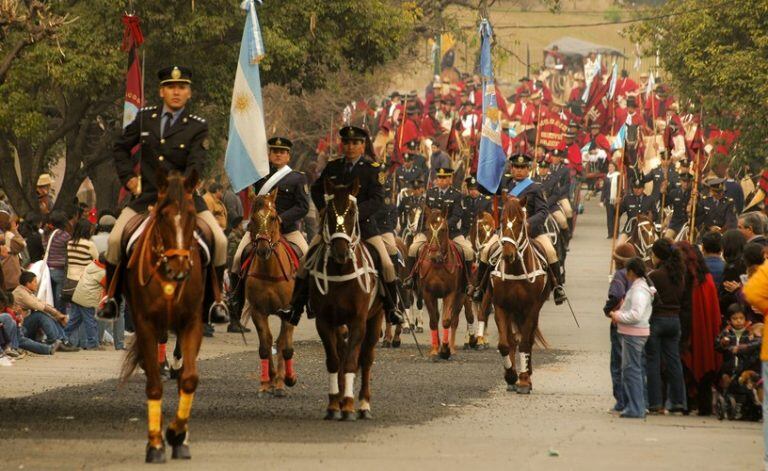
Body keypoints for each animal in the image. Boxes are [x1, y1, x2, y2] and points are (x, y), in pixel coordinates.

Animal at [121, 171, 206, 464]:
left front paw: (177, 434)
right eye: (162, 216)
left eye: (192, 215)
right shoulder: (145, 323)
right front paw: (156, 445)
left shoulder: (192, 323)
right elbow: (154, 386)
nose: (179, 268)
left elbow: (189, 379)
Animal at [243, 190, 296, 396]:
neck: (269, 271)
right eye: (252, 219)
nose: (263, 249)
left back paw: (281, 382)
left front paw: (287, 380)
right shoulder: (258, 312)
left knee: (282, 342)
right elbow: (265, 347)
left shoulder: (288, 311)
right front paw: (266, 383)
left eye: (273, 217)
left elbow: (286, 348)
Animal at [306, 180, 384, 420]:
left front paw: (349, 406)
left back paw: (364, 404)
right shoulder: (324, 321)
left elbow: (351, 362)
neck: (341, 270)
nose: (340, 252)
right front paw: (334, 404)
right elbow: (334, 361)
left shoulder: (358, 321)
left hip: (375, 318)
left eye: (351, 213)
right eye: (330, 213)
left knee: (365, 358)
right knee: (342, 353)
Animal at [416, 208, 464, 360]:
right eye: (427, 228)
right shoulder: (427, 294)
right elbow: (433, 320)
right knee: (436, 317)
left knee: (454, 320)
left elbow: (447, 320)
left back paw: (452, 348)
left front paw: (445, 349)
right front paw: (435, 349)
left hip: (462, 296)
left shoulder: (451, 293)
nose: (434, 255)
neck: (438, 265)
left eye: (443, 229)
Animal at [492, 195, 552, 394]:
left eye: (519, 222)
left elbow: (525, 342)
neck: (516, 269)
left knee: (529, 339)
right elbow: (504, 344)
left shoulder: (531, 308)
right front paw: (511, 375)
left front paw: (524, 381)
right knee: (511, 340)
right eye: (502, 221)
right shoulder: (501, 306)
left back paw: (527, 376)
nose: (508, 254)